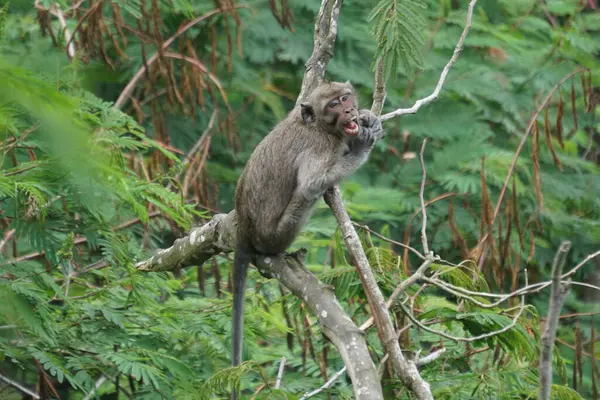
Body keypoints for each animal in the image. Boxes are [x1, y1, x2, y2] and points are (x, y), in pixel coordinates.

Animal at [232, 79, 382, 398]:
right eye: (334, 105)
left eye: (345, 98)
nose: (349, 110)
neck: (320, 128)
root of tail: (243, 229)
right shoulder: (321, 148)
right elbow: (312, 183)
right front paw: (361, 144)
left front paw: (369, 118)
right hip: (275, 234)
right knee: (305, 196)